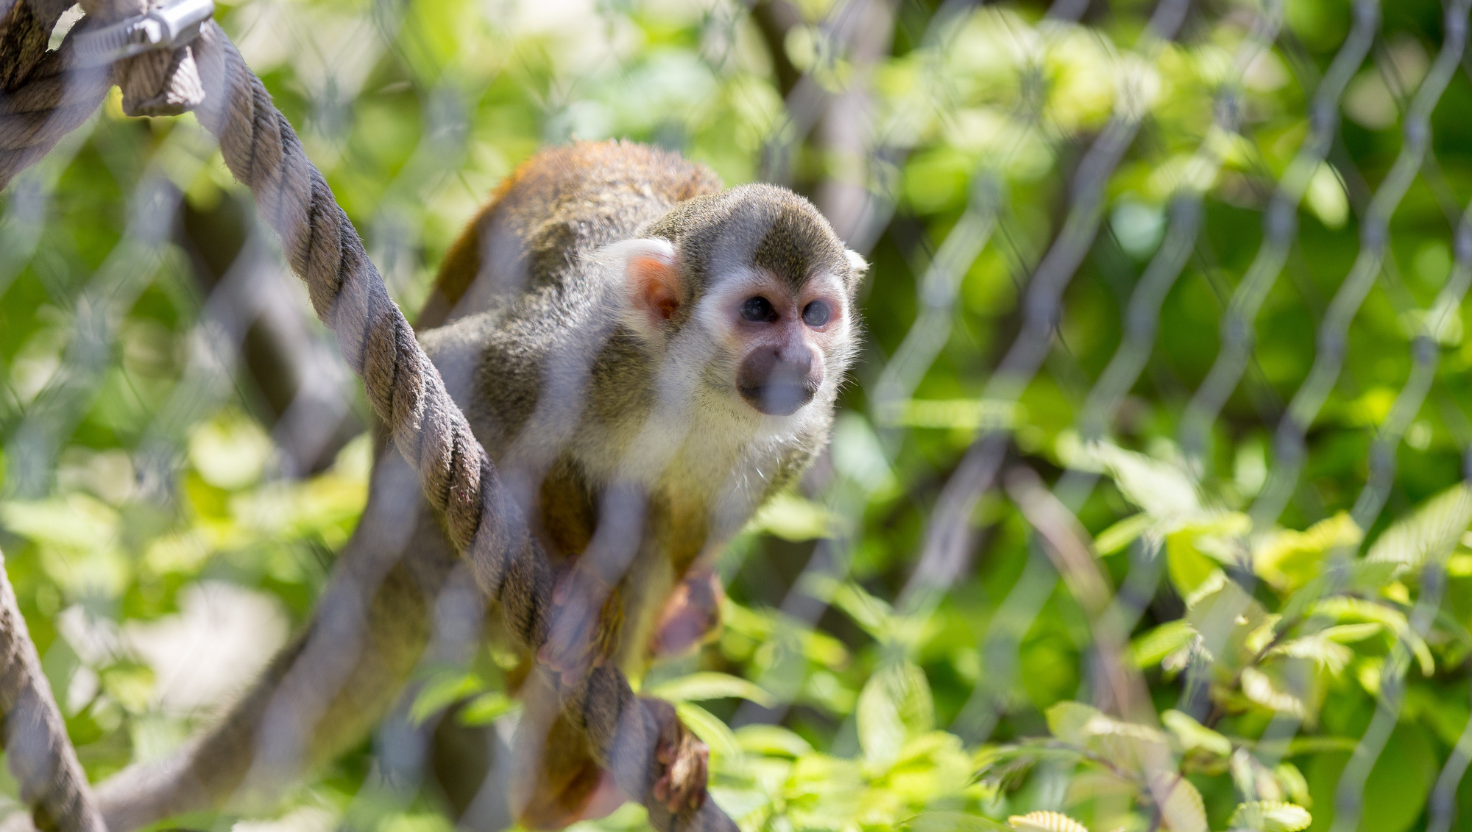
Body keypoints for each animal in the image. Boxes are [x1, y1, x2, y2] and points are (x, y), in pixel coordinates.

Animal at [90, 140, 867, 832]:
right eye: (759, 311)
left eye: (815, 313)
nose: (800, 356)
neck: (697, 390)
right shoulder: (582, 347)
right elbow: (467, 376)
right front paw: (579, 583)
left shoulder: (799, 438)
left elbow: (693, 532)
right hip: (432, 544)